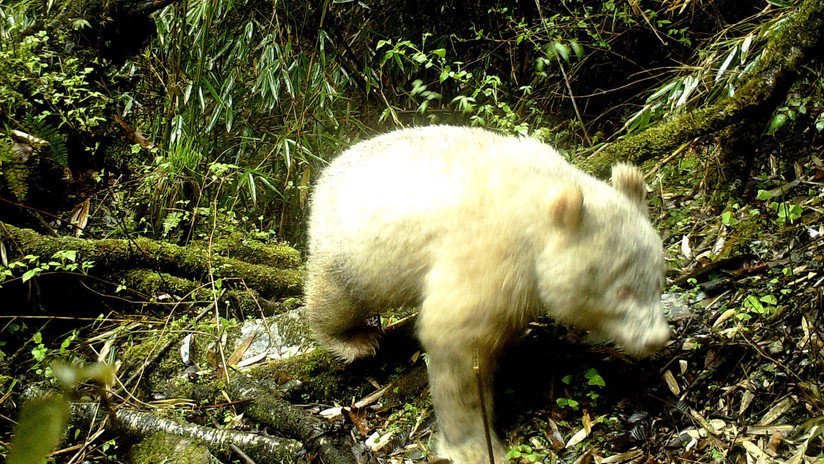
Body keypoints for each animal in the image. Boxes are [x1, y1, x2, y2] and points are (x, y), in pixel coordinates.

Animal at [302, 125, 668, 462]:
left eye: (658, 281)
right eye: (622, 291)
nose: (657, 338)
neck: (538, 203)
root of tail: (327, 171)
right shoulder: (490, 252)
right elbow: (456, 341)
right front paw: (473, 445)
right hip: (351, 248)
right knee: (336, 296)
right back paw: (353, 340)